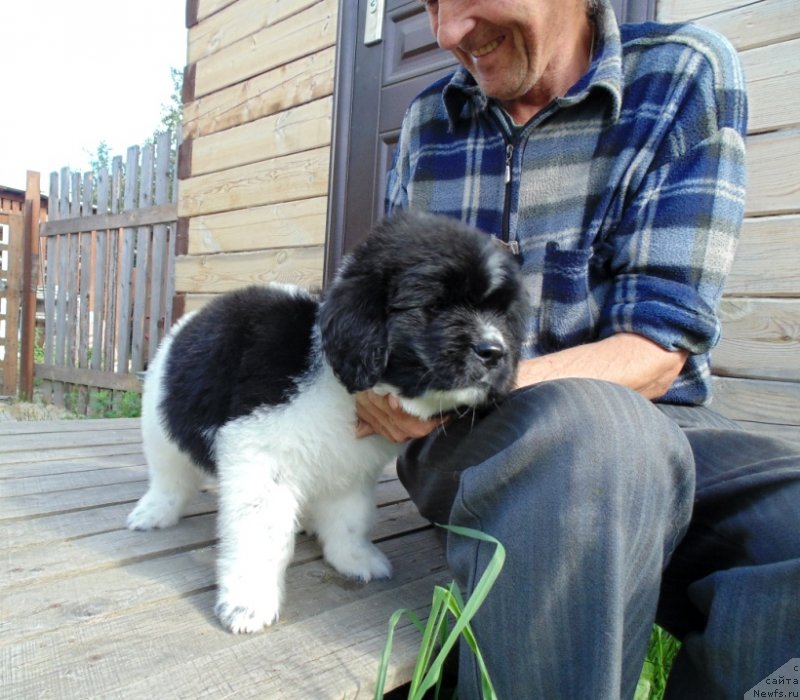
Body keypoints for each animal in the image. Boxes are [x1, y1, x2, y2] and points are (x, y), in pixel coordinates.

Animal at [126, 209, 532, 636]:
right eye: (436, 305)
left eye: (502, 314)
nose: (493, 351)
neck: (338, 383)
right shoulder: (258, 455)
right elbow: (261, 536)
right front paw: (249, 604)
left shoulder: (350, 467)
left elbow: (351, 519)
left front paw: (353, 559)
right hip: (160, 426)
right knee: (171, 477)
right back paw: (153, 513)